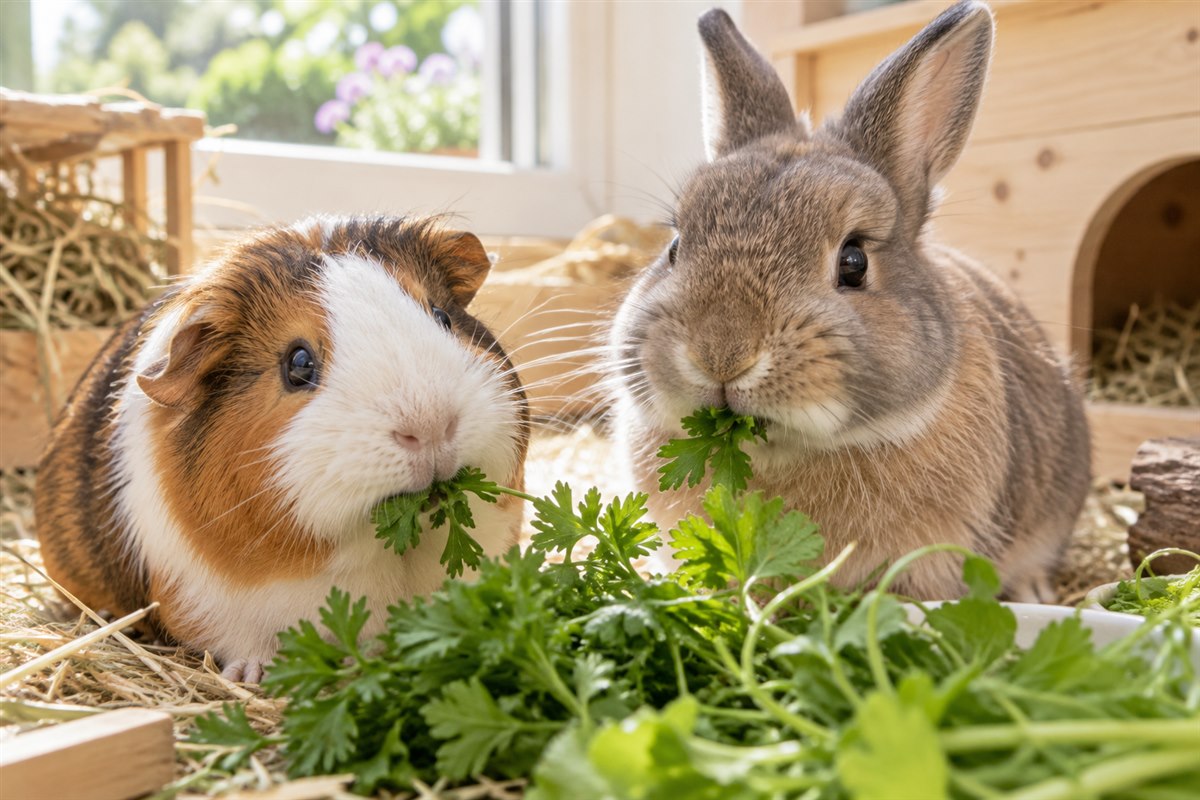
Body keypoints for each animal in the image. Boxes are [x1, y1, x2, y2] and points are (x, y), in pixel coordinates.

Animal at [35, 215, 529, 681]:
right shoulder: (198, 596)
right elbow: (244, 643)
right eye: (298, 363)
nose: (431, 426)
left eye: (442, 317)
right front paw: (254, 676)